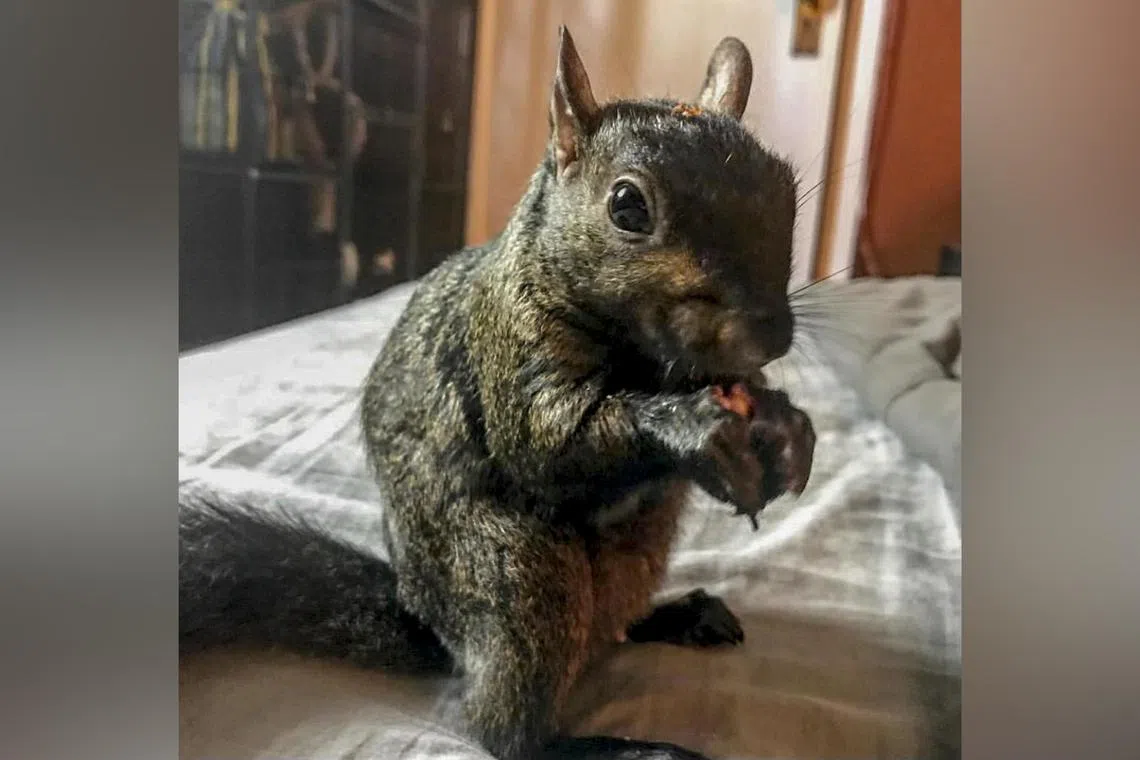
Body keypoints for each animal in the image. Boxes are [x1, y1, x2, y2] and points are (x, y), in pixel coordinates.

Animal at [180, 27, 816, 760]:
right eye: (627, 206)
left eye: (788, 189)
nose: (765, 334)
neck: (649, 361)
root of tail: (437, 629)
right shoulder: (507, 348)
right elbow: (545, 446)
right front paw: (693, 428)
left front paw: (785, 425)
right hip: (518, 572)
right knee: (505, 731)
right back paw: (615, 746)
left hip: (637, 552)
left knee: (610, 627)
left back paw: (675, 616)